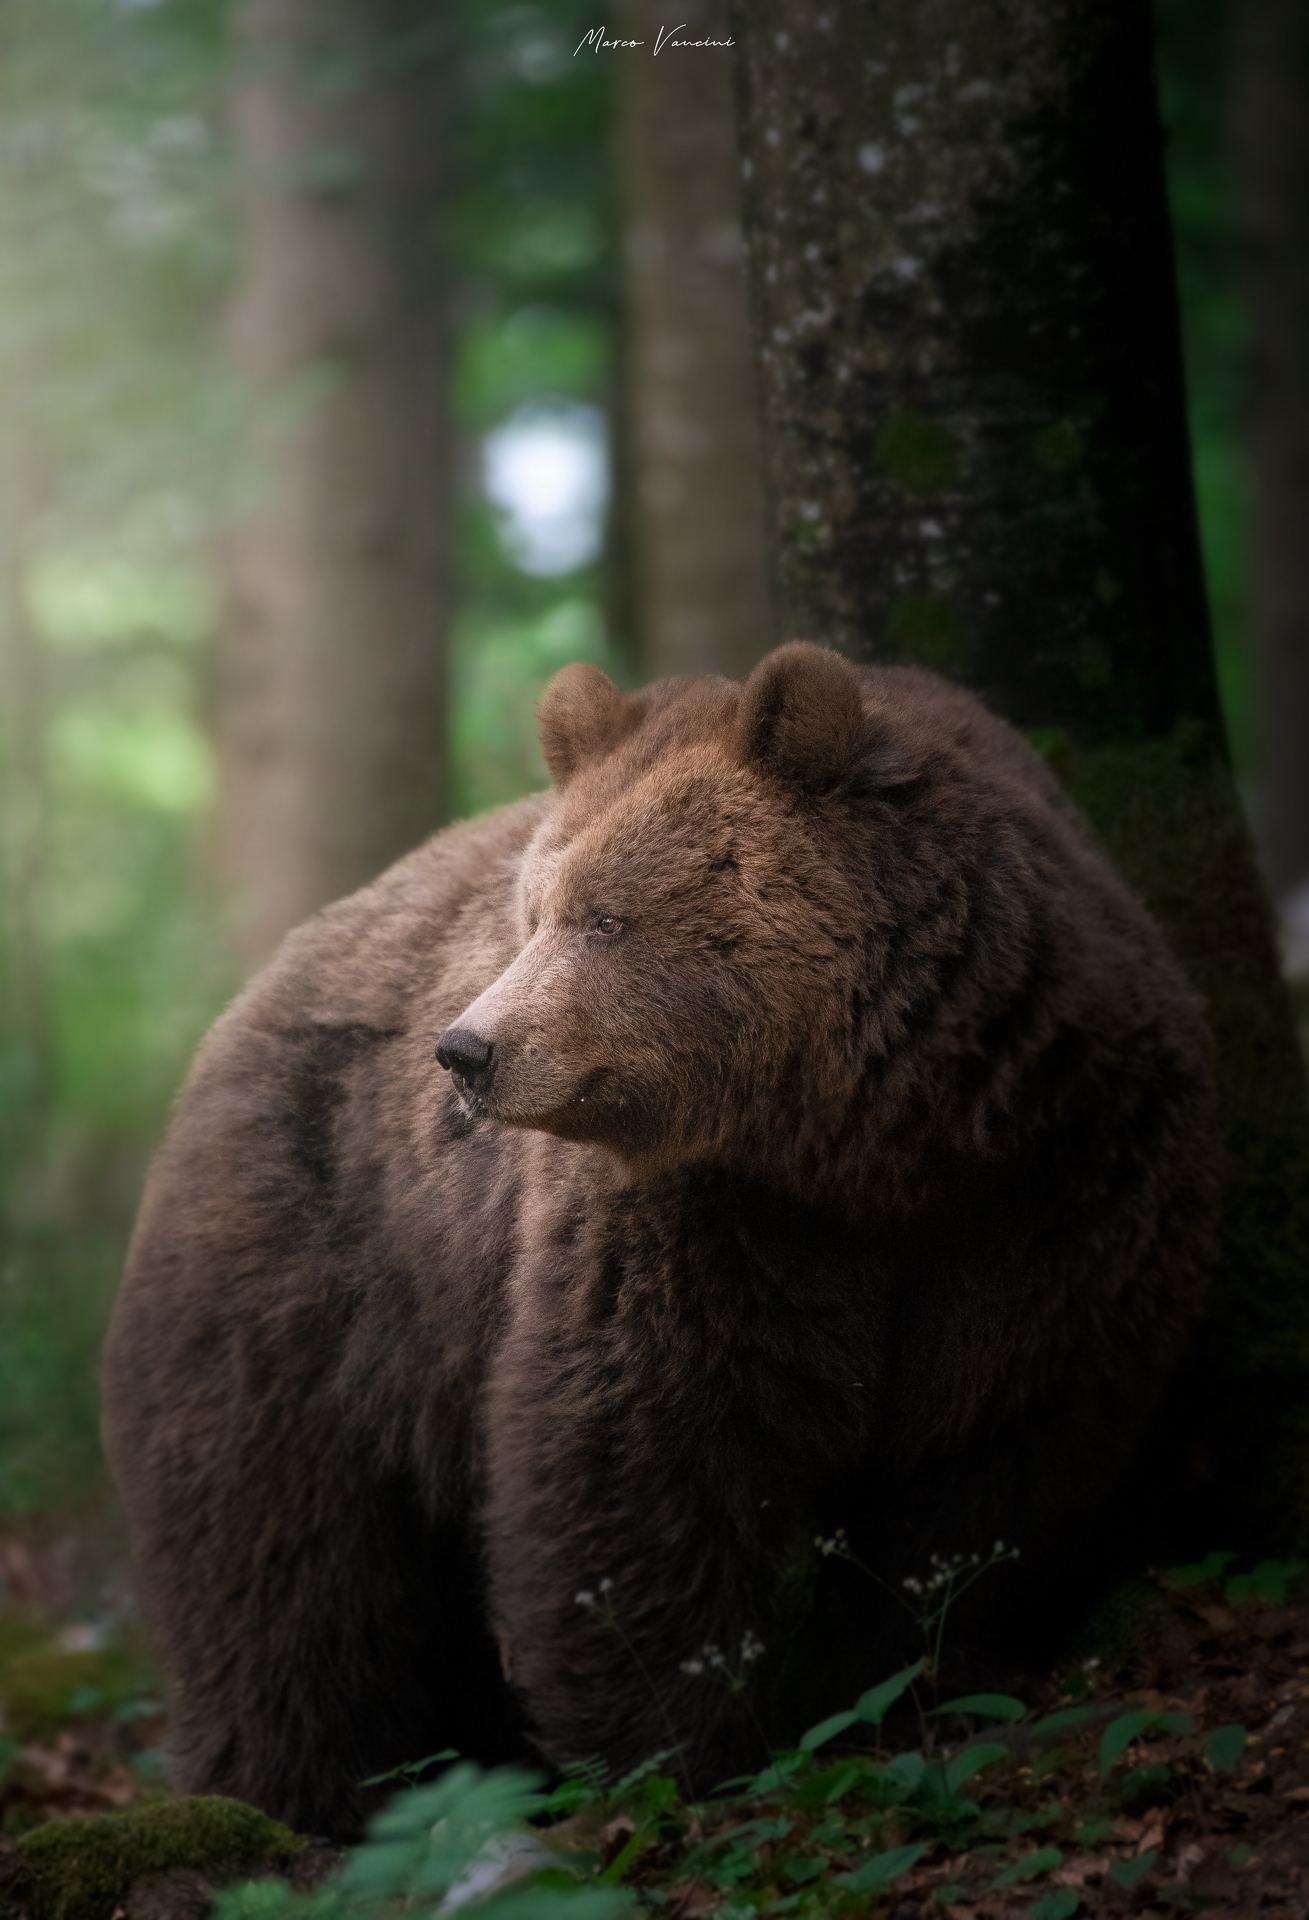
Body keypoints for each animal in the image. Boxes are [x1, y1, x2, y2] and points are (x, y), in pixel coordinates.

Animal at [101, 642, 1221, 1839]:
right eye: (533, 911)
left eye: (604, 917)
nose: (465, 1051)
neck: (871, 1143)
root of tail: (256, 987)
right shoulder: (692, 1228)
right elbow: (637, 1456)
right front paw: (673, 1752)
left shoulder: (1058, 1182)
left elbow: (994, 1453)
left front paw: (926, 1678)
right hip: (311, 1266)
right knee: (279, 1554)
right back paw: (291, 1790)